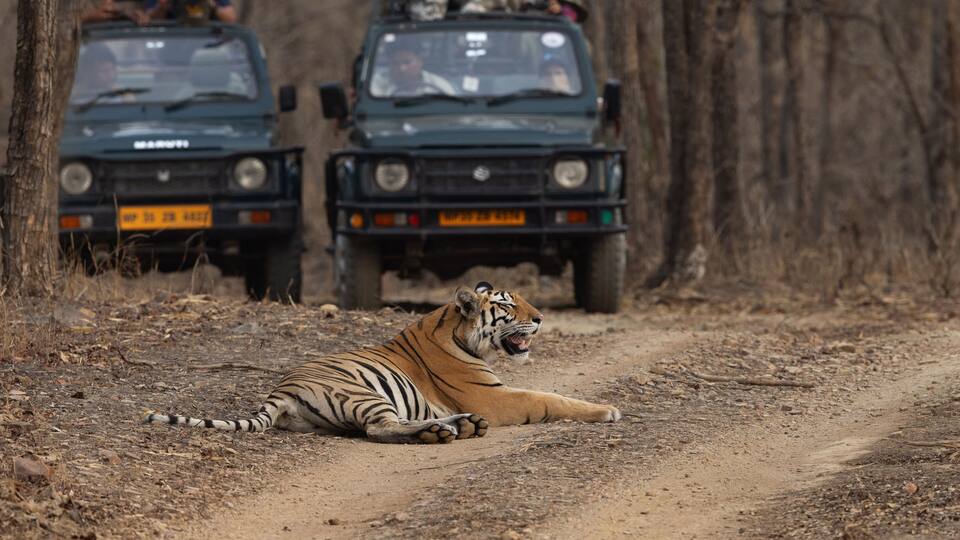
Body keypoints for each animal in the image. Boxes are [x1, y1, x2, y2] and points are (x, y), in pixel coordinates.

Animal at [143, 282, 621, 444]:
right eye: (508, 305)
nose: (540, 318)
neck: (454, 328)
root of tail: (279, 392)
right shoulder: (497, 399)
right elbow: (551, 398)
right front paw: (607, 410)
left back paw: (460, 426)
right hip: (362, 392)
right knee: (380, 428)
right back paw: (443, 431)